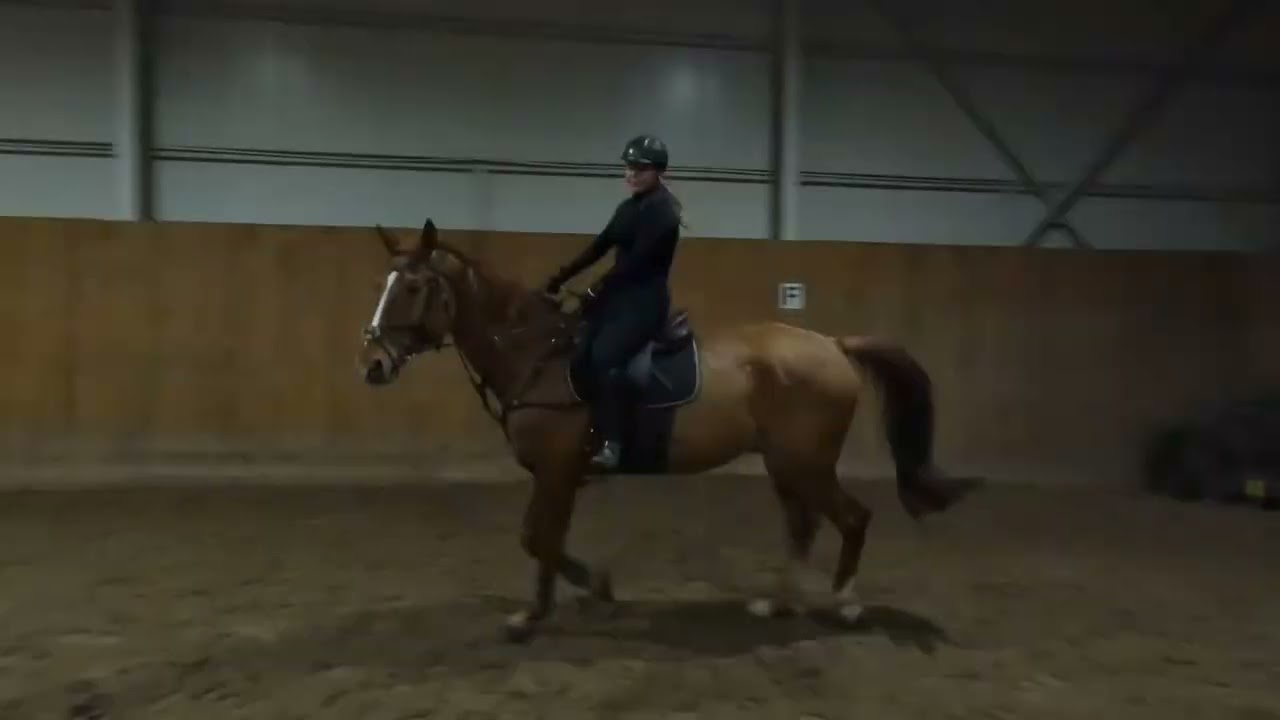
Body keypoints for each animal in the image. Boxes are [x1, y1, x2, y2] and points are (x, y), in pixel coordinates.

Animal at [357, 218, 978, 643]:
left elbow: (541, 539)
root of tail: (832, 344)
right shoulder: (556, 475)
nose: (373, 365)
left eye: (412, 287)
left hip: (806, 463)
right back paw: (778, 604)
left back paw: (845, 602)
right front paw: (592, 591)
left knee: (852, 518)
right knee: (802, 525)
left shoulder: (557, 471)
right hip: (786, 465)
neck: (536, 353)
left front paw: (535, 615)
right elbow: (540, 539)